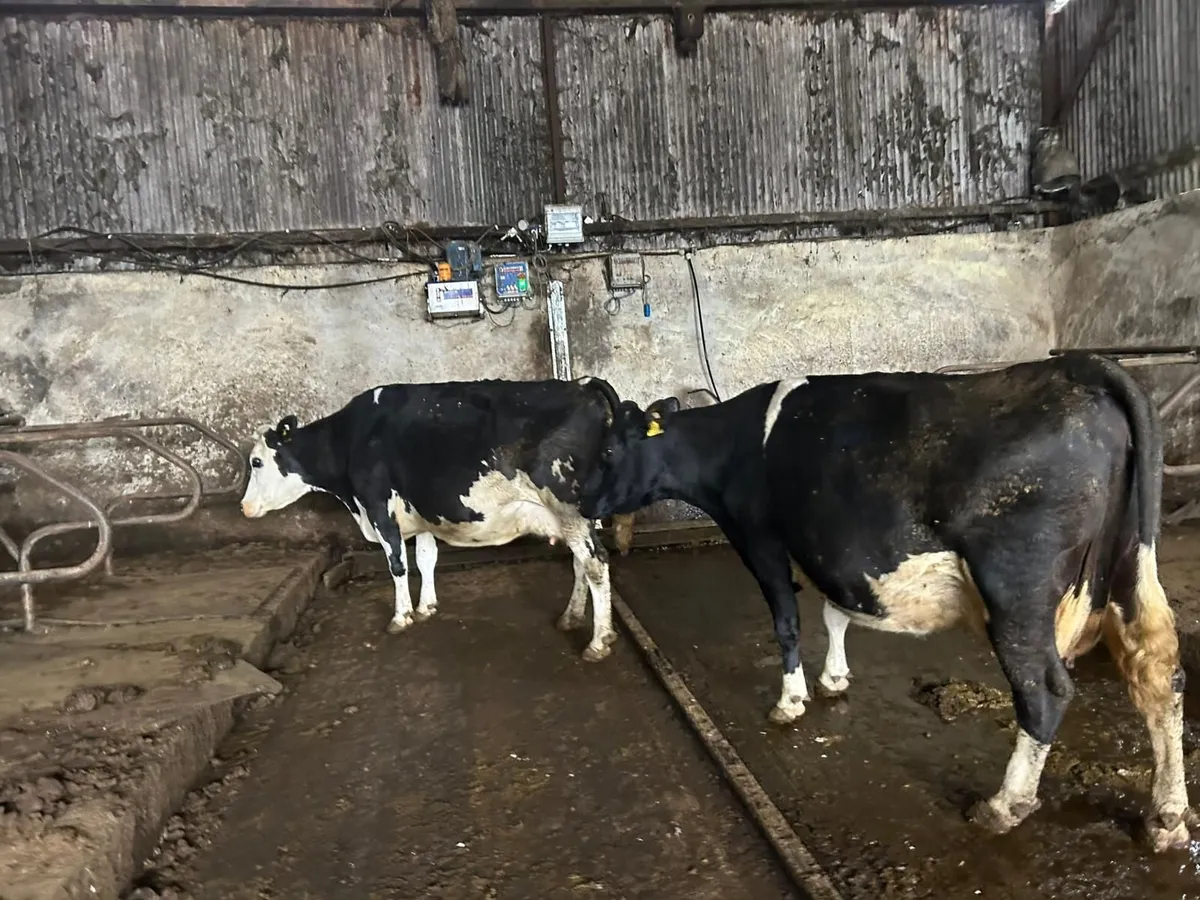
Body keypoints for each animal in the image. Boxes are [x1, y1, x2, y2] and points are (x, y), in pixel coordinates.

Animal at [240, 376, 635, 662]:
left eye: (256, 462)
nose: (243, 508)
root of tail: (582, 384)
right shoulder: (422, 515)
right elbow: (425, 559)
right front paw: (426, 606)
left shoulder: (379, 508)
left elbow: (397, 565)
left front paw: (401, 616)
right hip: (579, 515)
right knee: (582, 562)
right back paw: (570, 618)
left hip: (568, 507)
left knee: (596, 563)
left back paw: (598, 642)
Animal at [578, 352, 1194, 851]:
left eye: (607, 450)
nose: (581, 501)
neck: (734, 447)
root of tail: (1081, 367)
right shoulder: (829, 549)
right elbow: (835, 610)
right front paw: (834, 678)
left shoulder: (761, 539)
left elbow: (786, 620)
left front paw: (791, 701)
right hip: (1131, 562)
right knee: (1160, 675)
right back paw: (1167, 818)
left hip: (1017, 587)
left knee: (1044, 691)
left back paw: (1002, 807)